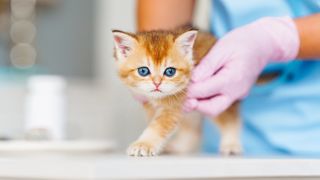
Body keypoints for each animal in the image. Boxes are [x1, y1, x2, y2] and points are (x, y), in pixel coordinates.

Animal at [113, 28, 242, 156]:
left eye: (170, 71)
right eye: (143, 71)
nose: (157, 83)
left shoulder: (175, 103)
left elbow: (159, 125)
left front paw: (144, 144)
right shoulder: (149, 104)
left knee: (230, 118)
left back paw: (231, 144)